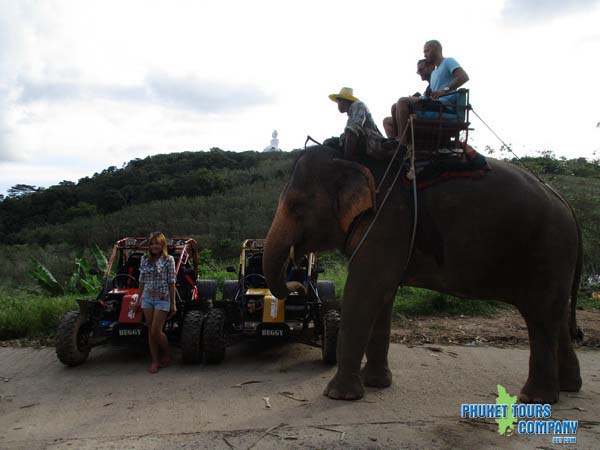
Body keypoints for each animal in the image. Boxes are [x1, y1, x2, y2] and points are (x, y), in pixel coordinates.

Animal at [262, 145, 580, 404]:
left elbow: (364, 290)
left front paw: (339, 396)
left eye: (296, 206)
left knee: (540, 317)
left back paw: (535, 399)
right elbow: (383, 296)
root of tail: (565, 201)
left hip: (546, 250)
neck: (352, 160)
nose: (299, 276)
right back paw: (568, 387)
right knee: (557, 316)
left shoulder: (387, 221)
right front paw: (375, 383)